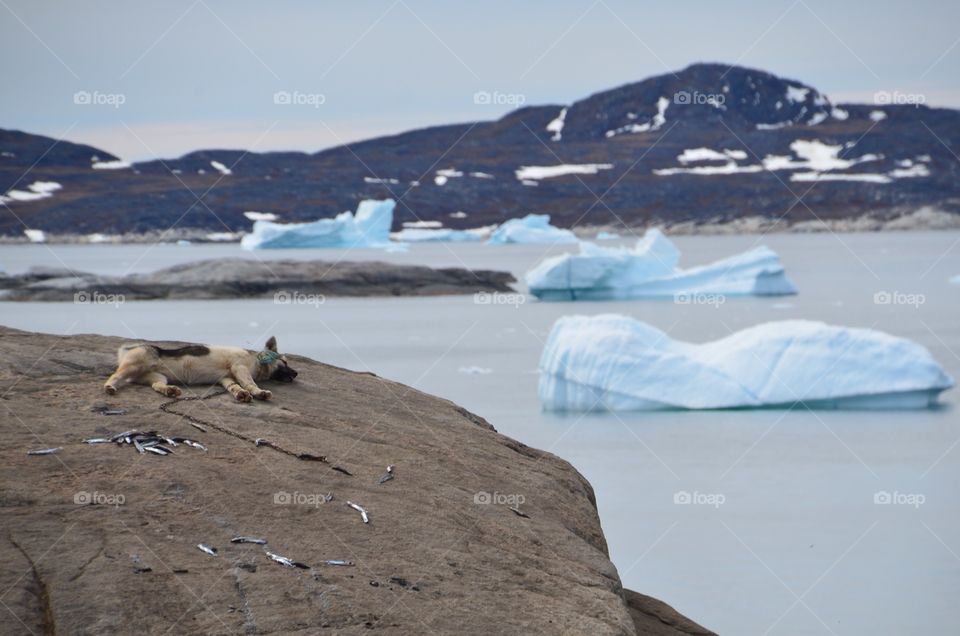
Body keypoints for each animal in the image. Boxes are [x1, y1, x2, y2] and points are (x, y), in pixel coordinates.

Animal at [103, 336, 298, 400]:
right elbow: (250, 384)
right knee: (114, 377)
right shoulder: (239, 367)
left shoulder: (227, 378)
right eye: (285, 362)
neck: (256, 362)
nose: (297, 373)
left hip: (157, 377)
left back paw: (170, 390)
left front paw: (240, 394)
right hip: (133, 366)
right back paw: (110, 387)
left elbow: (235, 387)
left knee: (157, 386)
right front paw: (259, 392)